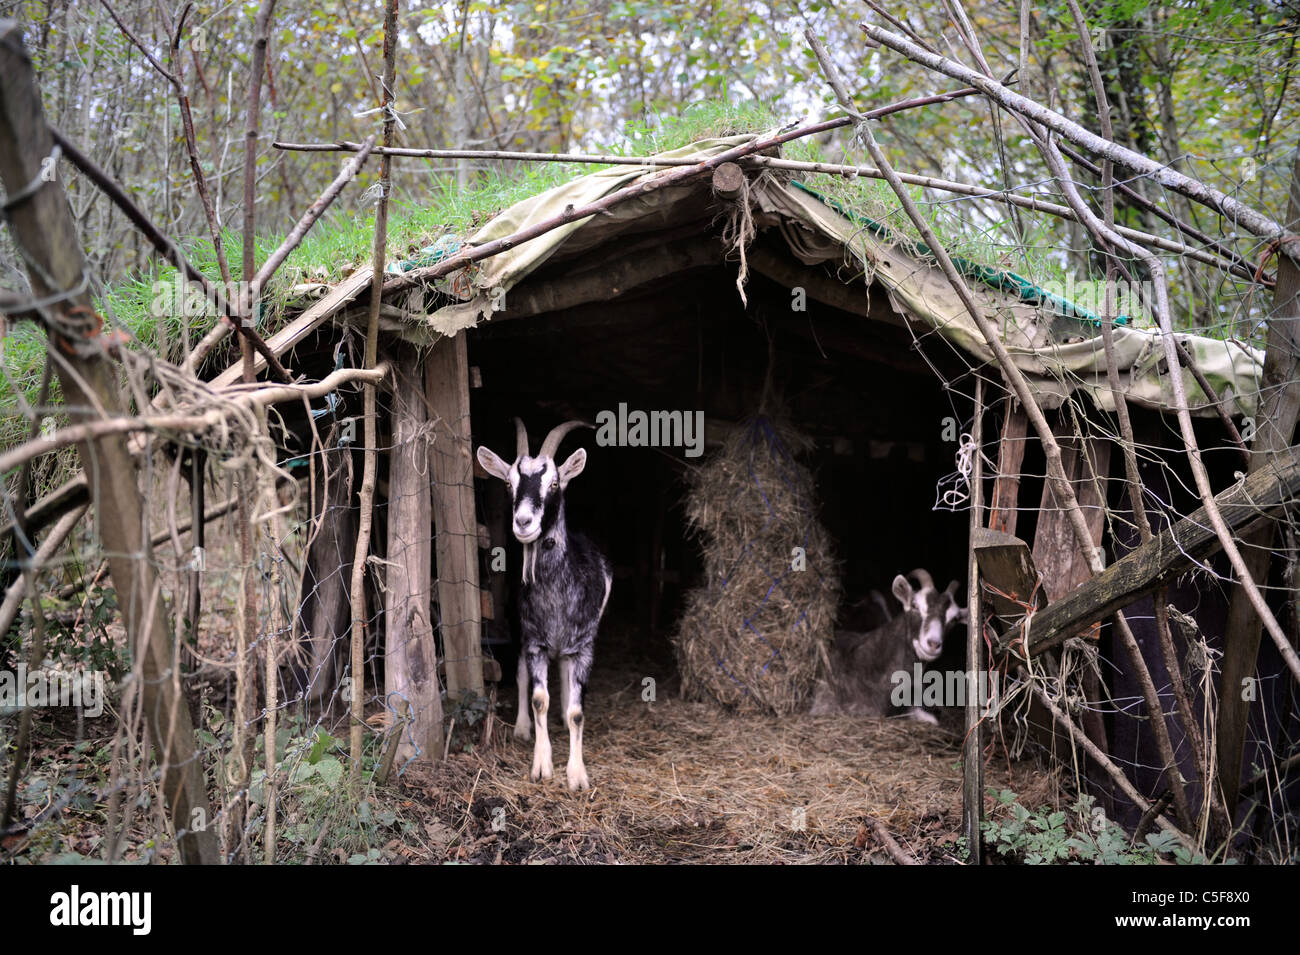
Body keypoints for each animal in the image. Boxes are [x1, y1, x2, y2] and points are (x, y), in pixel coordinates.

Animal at [475, 418, 611, 789]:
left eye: (554, 483)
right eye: (509, 482)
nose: (523, 522)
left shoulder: (584, 644)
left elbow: (578, 711)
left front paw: (577, 775)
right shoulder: (535, 639)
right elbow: (538, 699)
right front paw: (541, 765)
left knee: (563, 673)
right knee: (522, 673)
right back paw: (523, 728)